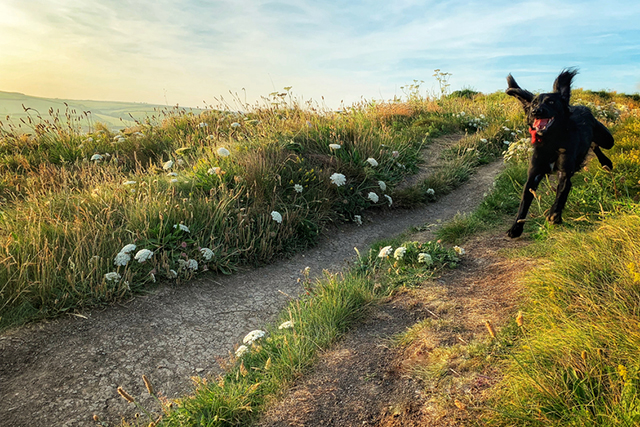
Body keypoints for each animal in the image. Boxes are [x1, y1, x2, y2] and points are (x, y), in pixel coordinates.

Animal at [504, 68, 616, 239]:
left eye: (551, 102)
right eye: (534, 104)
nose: (536, 111)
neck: (551, 141)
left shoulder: (564, 173)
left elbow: (561, 194)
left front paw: (554, 215)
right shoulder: (533, 175)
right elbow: (524, 203)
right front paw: (515, 227)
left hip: (608, 140)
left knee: (597, 144)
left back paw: (605, 162)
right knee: (592, 144)